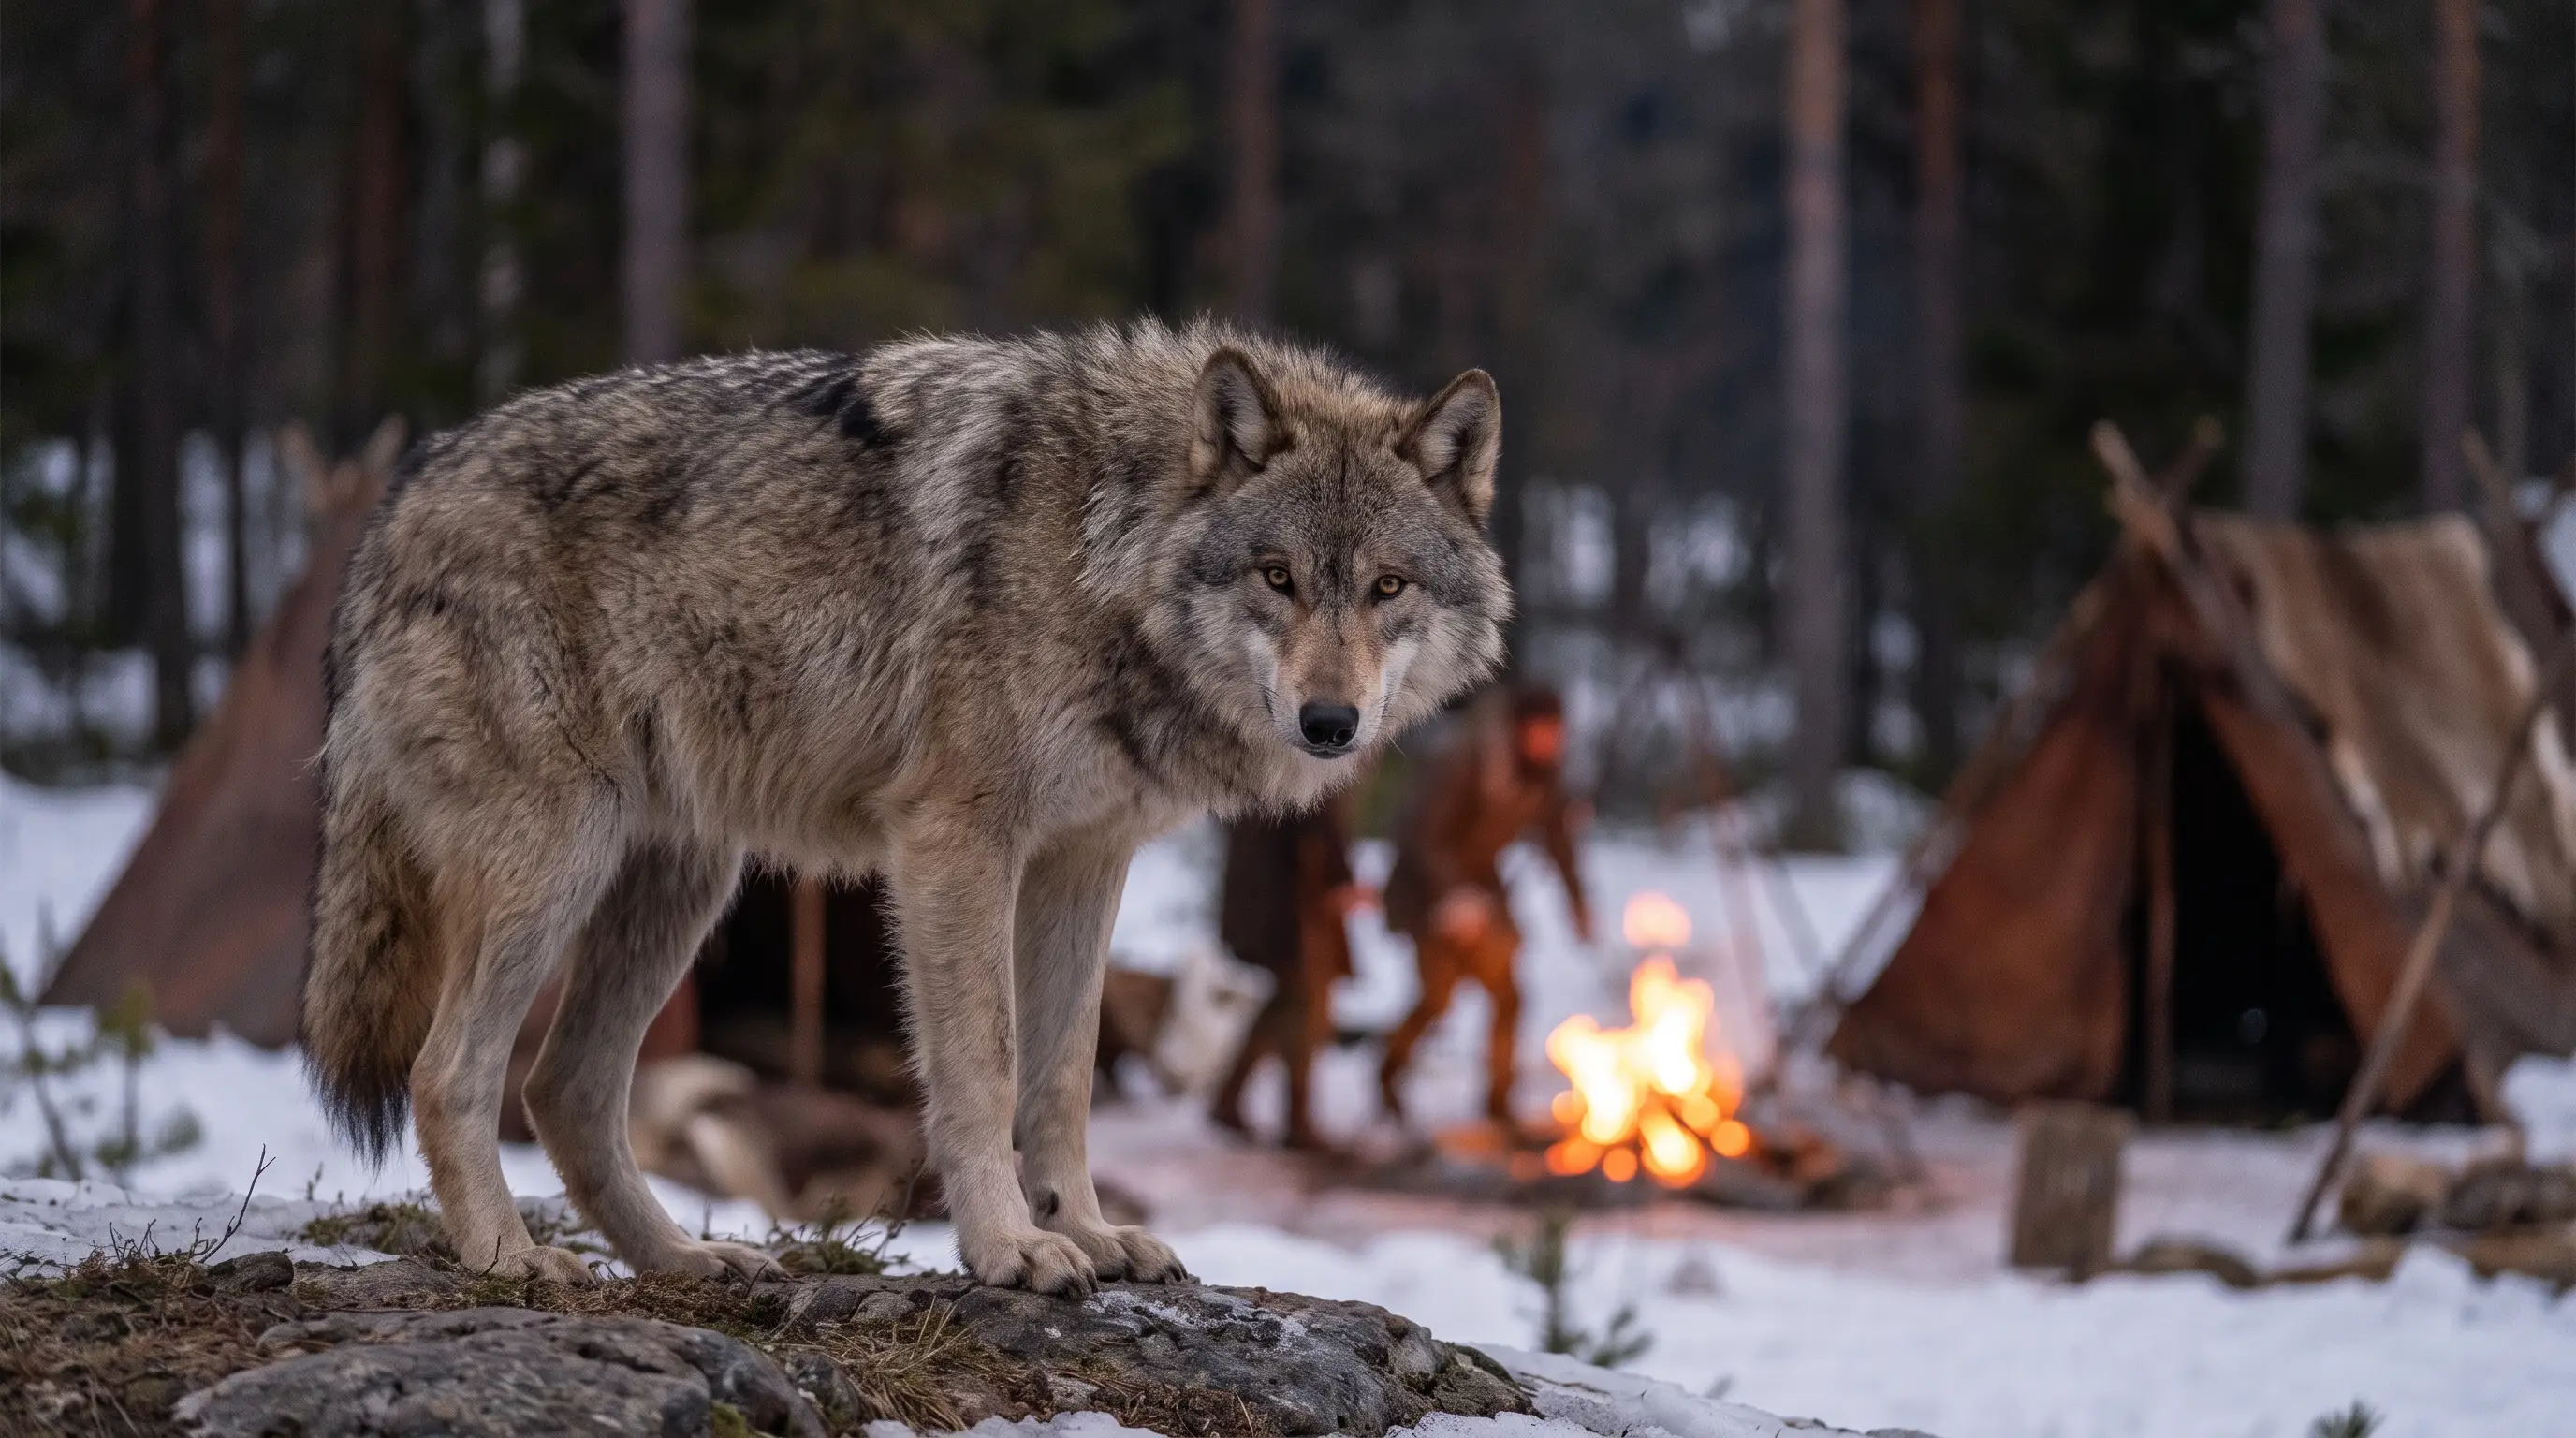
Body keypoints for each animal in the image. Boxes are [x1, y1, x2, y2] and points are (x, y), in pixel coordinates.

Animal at [302, 319, 1510, 1293]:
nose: (1330, 723)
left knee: (566, 1089)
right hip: (555, 869)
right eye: (1276, 576)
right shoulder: (956, 841)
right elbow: (985, 1064)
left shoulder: (1086, 859)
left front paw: (1089, 1232)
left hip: (679, 886)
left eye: (1387, 587)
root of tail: (395, 505)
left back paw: (683, 1259)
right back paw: (508, 1257)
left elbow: (1063, 1075)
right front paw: (1010, 1249)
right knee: (450, 1072)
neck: (1102, 542)